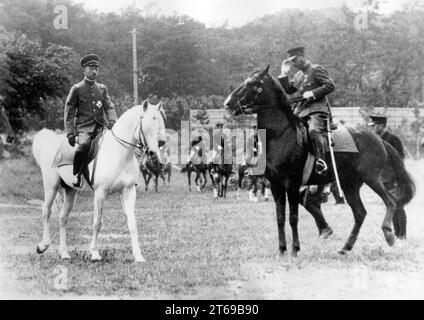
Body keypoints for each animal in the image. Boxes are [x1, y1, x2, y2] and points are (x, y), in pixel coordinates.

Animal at [31, 104, 166, 262]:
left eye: (159, 124)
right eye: (146, 124)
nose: (155, 155)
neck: (118, 153)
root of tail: (50, 140)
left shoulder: (128, 191)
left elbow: (132, 223)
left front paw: (138, 256)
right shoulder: (100, 193)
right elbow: (97, 223)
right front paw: (94, 253)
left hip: (70, 190)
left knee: (63, 217)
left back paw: (64, 253)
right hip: (51, 186)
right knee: (46, 211)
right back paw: (43, 246)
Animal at [224, 66, 416, 256]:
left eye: (252, 84)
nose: (228, 103)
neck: (281, 135)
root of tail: (379, 139)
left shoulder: (291, 184)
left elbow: (293, 218)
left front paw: (295, 249)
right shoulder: (276, 185)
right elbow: (280, 218)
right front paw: (282, 250)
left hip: (372, 179)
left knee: (391, 202)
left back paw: (389, 234)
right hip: (350, 185)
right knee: (360, 213)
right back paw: (345, 248)